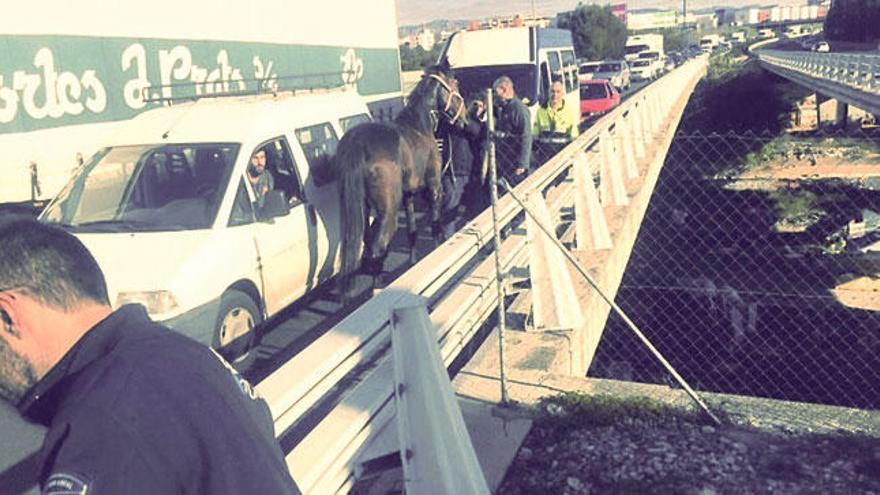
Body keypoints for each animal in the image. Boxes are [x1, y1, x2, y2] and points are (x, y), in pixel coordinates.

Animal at [336, 65, 470, 290]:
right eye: (456, 83)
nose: (464, 119)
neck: (419, 125)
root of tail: (358, 144)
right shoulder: (434, 188)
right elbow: (435, 226)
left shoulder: (408, 195)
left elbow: (412, 231)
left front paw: (414, 262)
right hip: (388, 210)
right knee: (378, 248)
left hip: (362, 208)